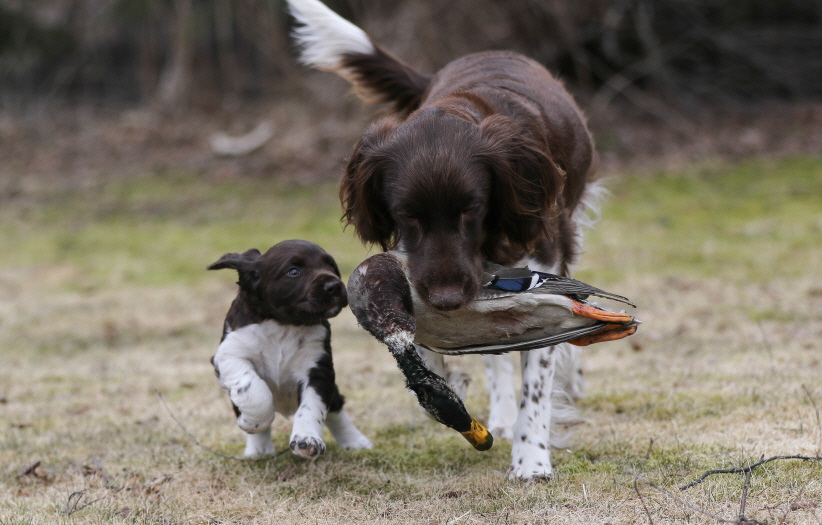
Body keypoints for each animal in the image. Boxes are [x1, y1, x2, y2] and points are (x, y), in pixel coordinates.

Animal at [209, 239, 374, 456]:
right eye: (293, 271)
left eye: (331, 266)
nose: (335, 286)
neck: (285, 325)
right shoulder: (230, 353)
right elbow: (255, 392)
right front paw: (252, 422)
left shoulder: (318, 369)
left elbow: (311, 407)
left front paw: (307, 440)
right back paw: (258, 450)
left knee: (335, 408)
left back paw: (355, 441)